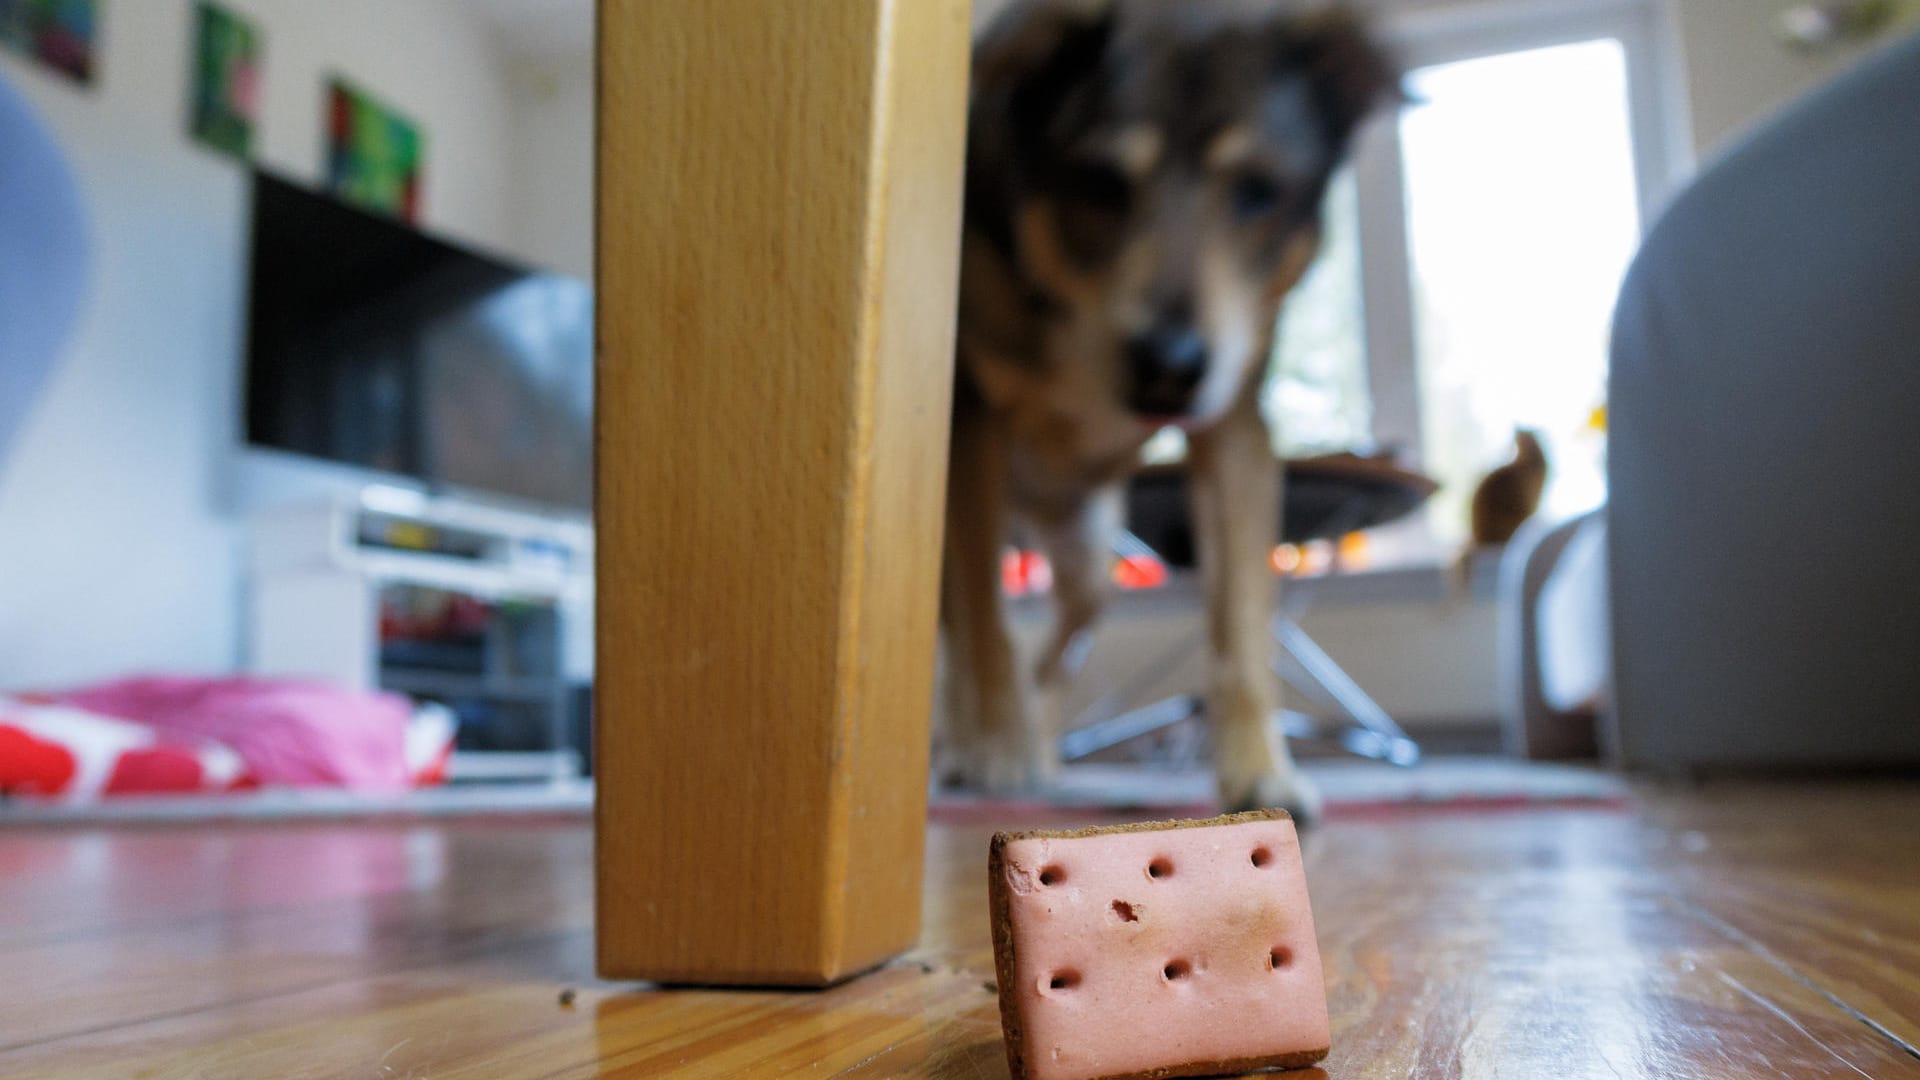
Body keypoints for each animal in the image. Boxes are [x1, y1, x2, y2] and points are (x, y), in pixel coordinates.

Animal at [940, 0, 1397, 814]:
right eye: (1099, 182)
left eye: (1258, 190)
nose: (1168, 367)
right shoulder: (970, 424)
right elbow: (986, 630)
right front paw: (994, 749)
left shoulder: (1235, 425)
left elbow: (1241, 621)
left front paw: (1259, 772)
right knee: (971, 636)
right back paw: (976, 745)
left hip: (1090, 554)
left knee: (1063, 637)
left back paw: (1042, 742)